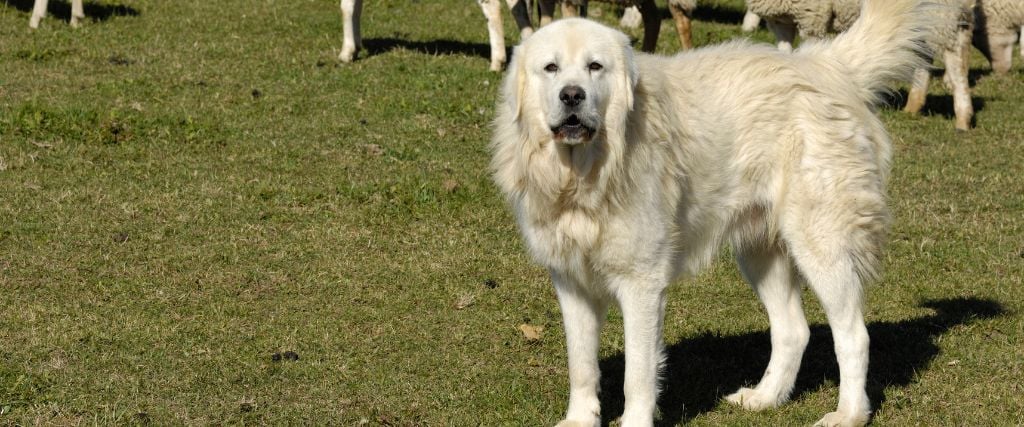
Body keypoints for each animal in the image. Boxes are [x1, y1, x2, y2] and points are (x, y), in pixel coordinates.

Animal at [491, 1, 937, 423]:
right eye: (551, 68)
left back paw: (849, 415)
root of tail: (824, 63)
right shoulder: (572, 283)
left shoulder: (641, 284)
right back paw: (765, 398)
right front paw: (579, 419)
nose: (572, 95)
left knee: (853, 335)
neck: (585, 174)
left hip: (822, 246)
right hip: (762, 253)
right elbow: (581, 365)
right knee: (793, 330)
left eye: (594, 67)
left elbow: (638, 373)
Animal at [749, 0, 970, 131]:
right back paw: (913, 106)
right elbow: (784, 55)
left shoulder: (812, 16)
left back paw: (963, 118)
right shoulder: (780, 21)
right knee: (925, 56)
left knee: (955, 58)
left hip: (942, 14)